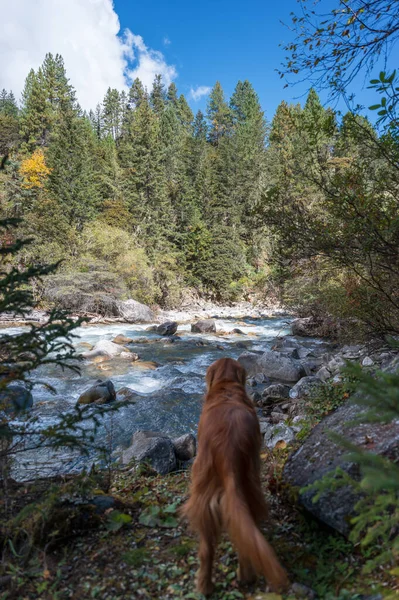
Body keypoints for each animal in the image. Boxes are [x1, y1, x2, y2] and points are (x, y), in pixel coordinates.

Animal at [182, 356, 290, 596]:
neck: (227, 389)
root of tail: (228, 451)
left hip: (204, 498)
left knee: (208, 549)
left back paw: (205, 586)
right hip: (247, 488)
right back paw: (243, 577)